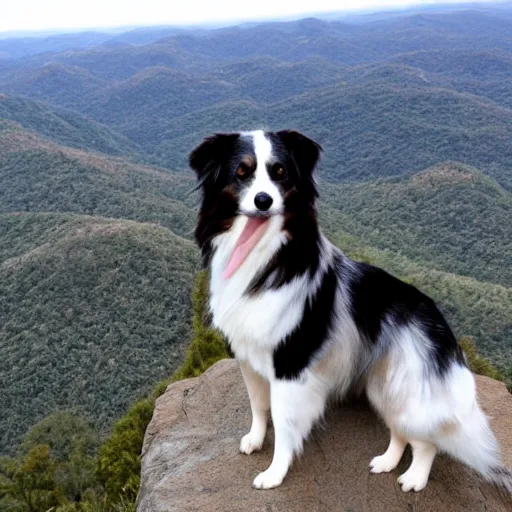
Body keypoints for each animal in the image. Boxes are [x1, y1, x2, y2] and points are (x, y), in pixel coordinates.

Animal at [189, 128, 512, 492]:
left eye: (280, 173)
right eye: (241, 173)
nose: (263, 200)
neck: (267, 258)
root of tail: (438, 322)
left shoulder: (290, 365)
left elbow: (284, 423)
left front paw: (275, 473)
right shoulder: (249, 357)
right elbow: (259, 406)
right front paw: (255, 440)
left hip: (408, 388)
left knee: (427, 439)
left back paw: (414, 477)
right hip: (384, 384)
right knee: (400, 430)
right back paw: (386, 462)